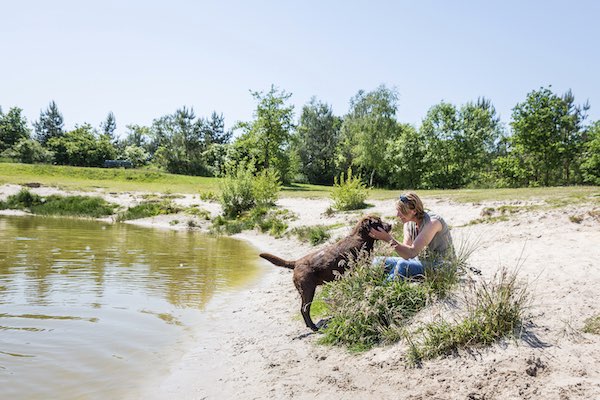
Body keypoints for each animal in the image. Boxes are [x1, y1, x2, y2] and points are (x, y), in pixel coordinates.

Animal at [258, 216, 392, 332]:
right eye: (377, 222)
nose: (390, 225)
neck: (361, 238)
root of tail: (296, 263)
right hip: (308, 290)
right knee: (304, 310)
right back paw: (313, 327)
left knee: (303, 310)